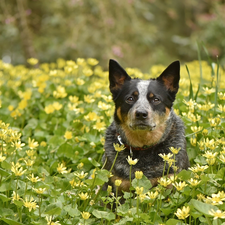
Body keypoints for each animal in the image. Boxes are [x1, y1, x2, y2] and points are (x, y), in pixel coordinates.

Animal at [102, 59, 190, 196]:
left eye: (156, 99)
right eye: (130, 98)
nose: (141, 113)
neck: (144, 146)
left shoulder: (170, 183)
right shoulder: (118, 188)